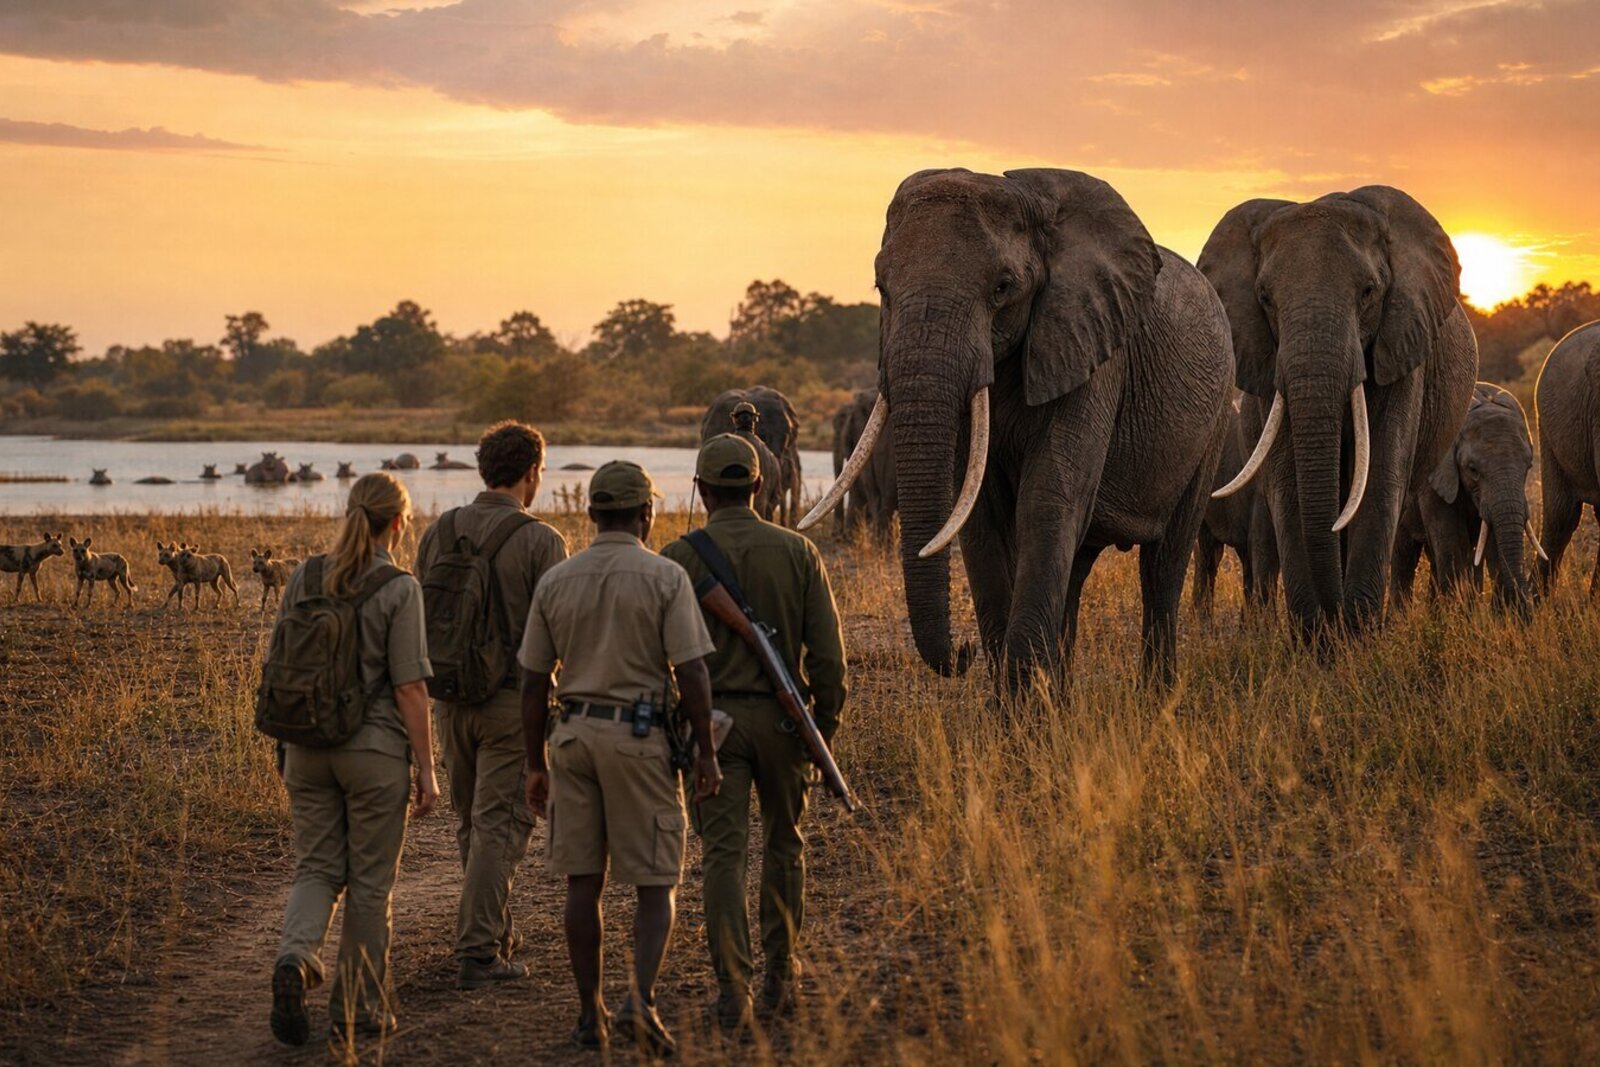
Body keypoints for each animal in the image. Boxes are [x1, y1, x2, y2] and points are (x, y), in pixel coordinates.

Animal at [1392, 382, 1540, 611]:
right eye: (1472, 470)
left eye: (1529, 466)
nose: (1527, 608)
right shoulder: (1434, 480)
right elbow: (1452, 544)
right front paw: (1460, 616)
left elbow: (1490, 544)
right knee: (1405, 556)